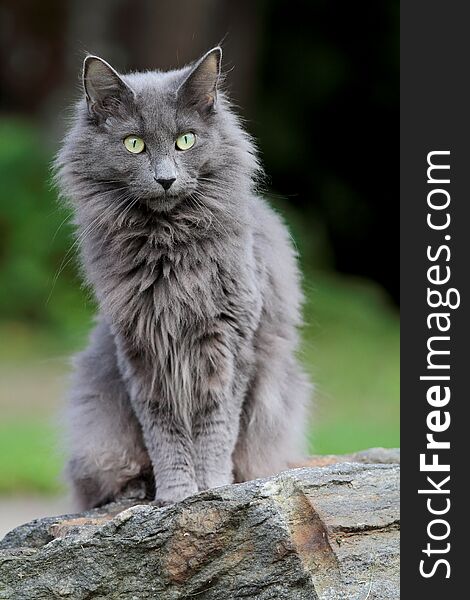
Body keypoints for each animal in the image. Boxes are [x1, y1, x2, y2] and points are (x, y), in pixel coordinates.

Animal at [55, 47, 310, 508]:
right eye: (134, 144)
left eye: (185, 140)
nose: (166, 178)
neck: (167, 247)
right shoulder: (141, 350)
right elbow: (165, 433)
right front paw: (175, 494)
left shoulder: (230, 345)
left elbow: (215, 427)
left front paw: (212, 487)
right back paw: (134, 491)